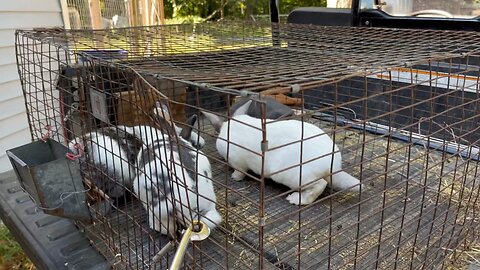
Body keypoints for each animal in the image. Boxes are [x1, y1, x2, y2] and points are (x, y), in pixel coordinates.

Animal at [202, 100, 360, 205]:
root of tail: (332, 166)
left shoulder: (237, 162)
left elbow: (240, 172)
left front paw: (235, 178)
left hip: (295, 176)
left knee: (320, 185)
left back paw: (295, 199)